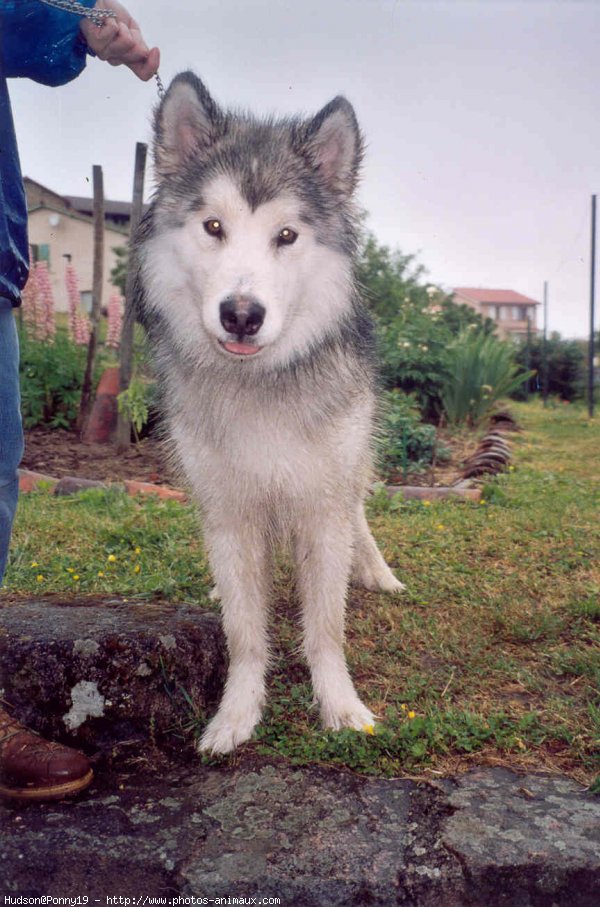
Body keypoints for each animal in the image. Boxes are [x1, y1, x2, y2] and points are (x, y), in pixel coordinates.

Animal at [134, 71, 406, 756]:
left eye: (286, 235)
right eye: (213, 226)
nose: (241, 314)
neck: (258, 382)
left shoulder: (322, 504)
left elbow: (326, 628)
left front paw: (340, 706)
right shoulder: (229, 512)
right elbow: (243, 631)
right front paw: (236, 715)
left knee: (361, 514)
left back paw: (378, 573)